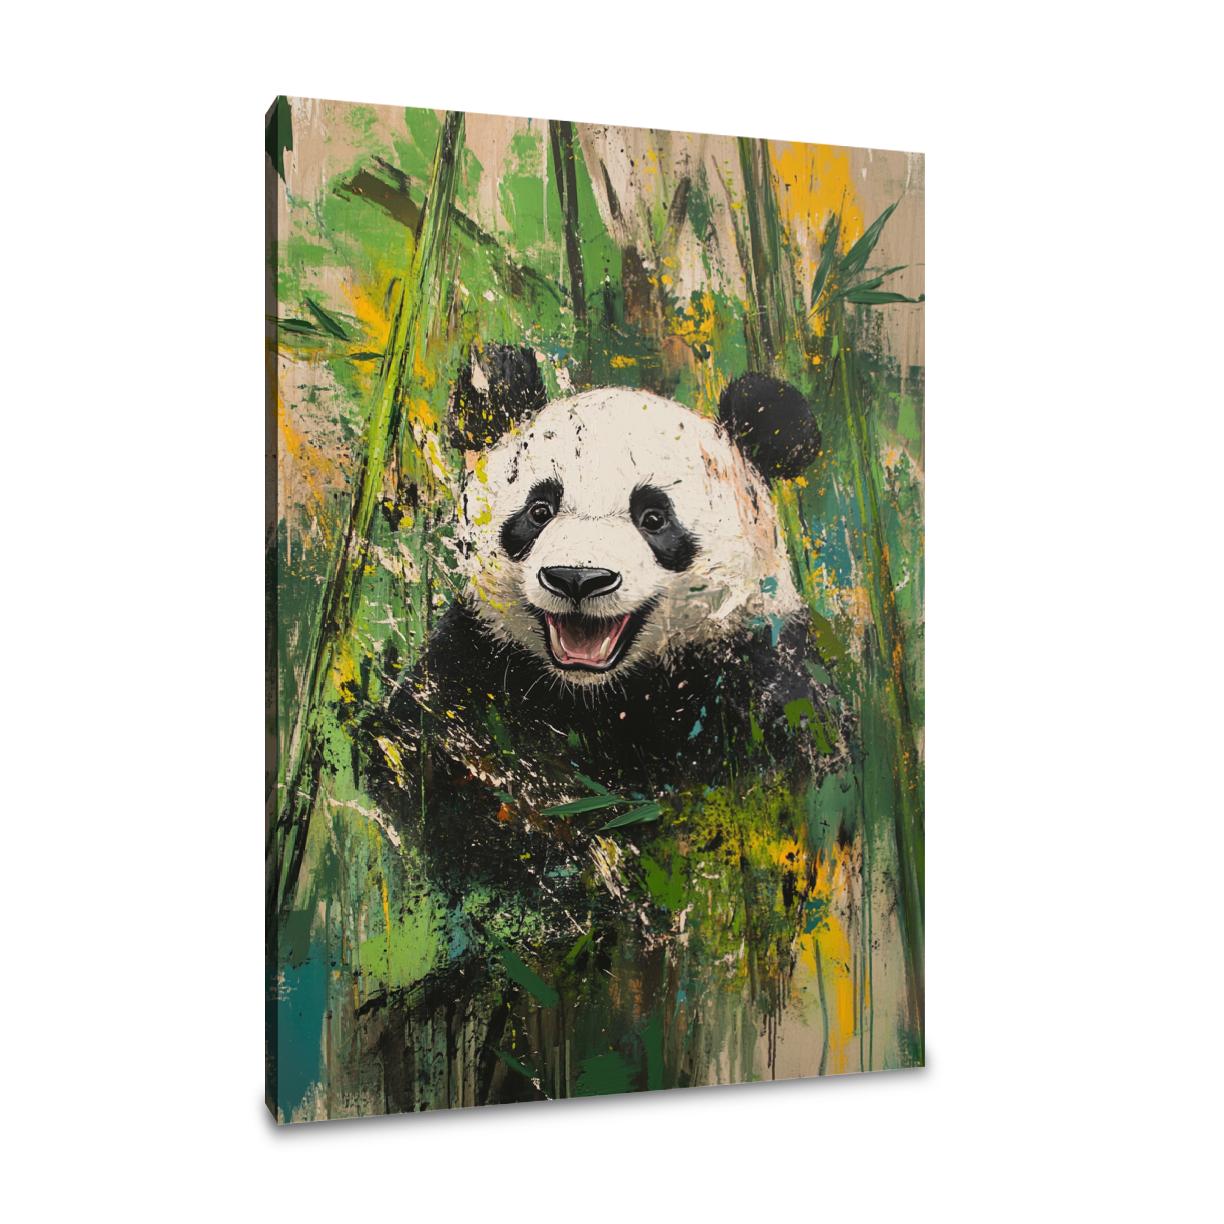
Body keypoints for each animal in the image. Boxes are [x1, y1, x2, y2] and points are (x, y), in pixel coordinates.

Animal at [364, 346, 847, 899]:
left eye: (654, 517)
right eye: (539, 510)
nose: (577, 578)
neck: (598, 696)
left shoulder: (757, 679)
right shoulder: (474, 669)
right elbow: (421, 769)